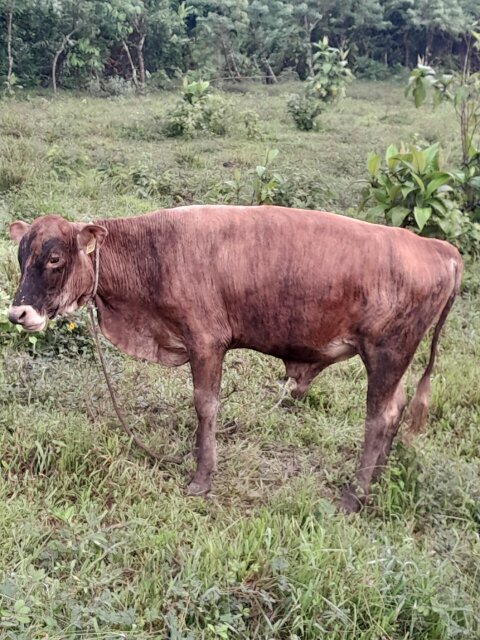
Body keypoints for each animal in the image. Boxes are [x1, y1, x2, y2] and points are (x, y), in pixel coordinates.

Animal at [7, 205, 463, 512]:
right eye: (20, 256)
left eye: (54, 259)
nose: (18, 313)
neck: (154, 252)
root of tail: (435, 246)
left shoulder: (206, 342)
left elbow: (205, 405)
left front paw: (202, 477)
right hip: (394, 360)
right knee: (396, 408)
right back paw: (378, 479)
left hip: (386, 353)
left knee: (379, 417)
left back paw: (356, 494)